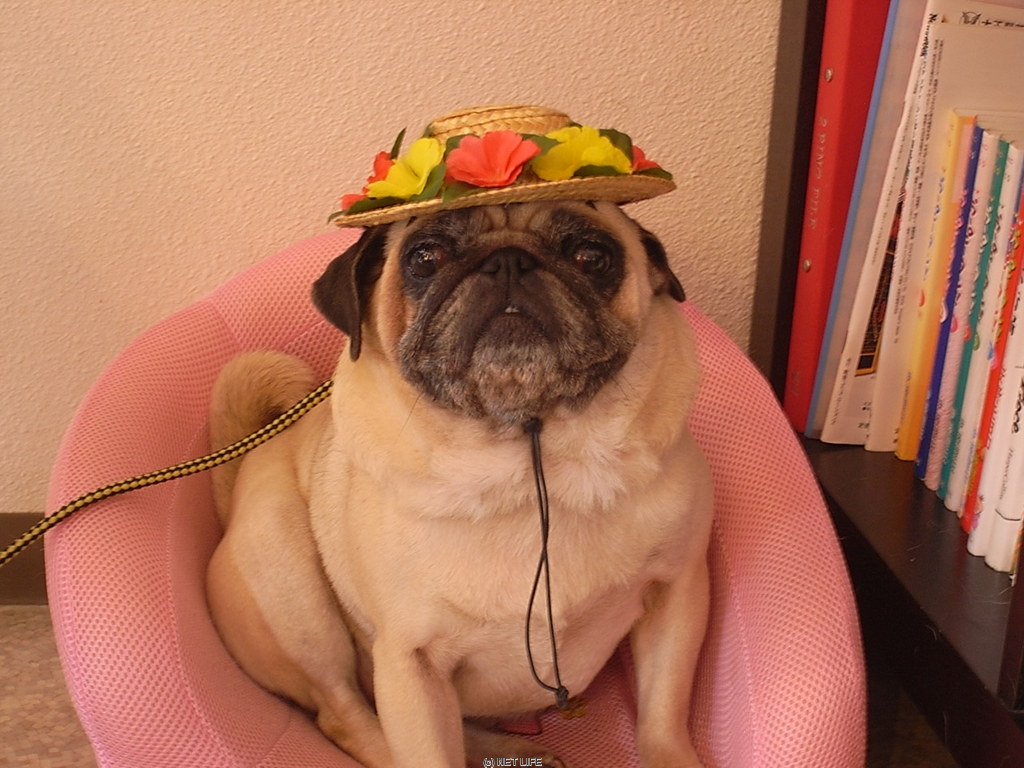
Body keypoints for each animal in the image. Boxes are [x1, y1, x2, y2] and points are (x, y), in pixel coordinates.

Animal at [206, 200, 713, 768]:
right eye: (425, 257)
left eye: (591, 255)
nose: (509, 260)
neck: (532, 466)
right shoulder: (411, 664)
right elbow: (425, 752)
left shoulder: (679, 589)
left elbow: (663, 714)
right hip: (288, 581)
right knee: (344, 713)